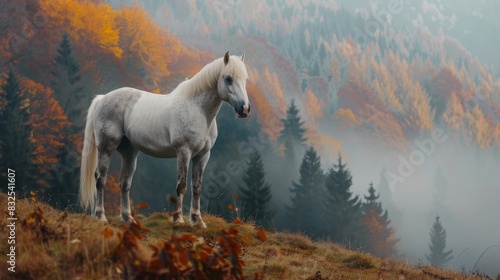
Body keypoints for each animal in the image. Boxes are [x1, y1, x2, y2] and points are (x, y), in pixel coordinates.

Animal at [79, 52, 249, 228]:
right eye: (228, 78)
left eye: (245, 79)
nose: (244, 109)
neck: (198, 110)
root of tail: (102, 98)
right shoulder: (184, 152)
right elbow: (181, 185)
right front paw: (178, 219)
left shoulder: (202, 156)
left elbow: (197, 187)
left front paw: (197, 221)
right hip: (106, 148)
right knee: (100, 179)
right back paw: (100, 216)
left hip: (129, 153)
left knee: (124, 183)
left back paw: (128, 218)